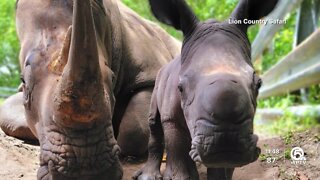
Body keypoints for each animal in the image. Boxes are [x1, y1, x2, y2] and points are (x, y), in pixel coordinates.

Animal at [0, 0, 180, 179]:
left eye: (112, 77)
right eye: (23, 81)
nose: (86, 169)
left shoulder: (150, 73)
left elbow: (134, 130)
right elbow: (8, 111)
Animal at [132, 0, 278, 180]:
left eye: (258, 84)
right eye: (180, 88)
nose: (226, 142)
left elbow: (222, 167)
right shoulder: (171, 117)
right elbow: (177, 149)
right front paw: (179, 176)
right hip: (158, 80)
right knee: (154, 122)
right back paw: (147, 176)